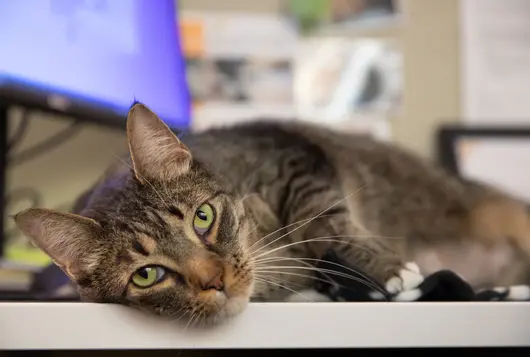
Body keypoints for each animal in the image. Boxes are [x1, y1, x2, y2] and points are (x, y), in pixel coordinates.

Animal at [13, 103, 530, 322]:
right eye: (146, 275)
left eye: (203, 218)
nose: (216, 279)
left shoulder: (297, 162)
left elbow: (327, 217)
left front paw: (388, 270)